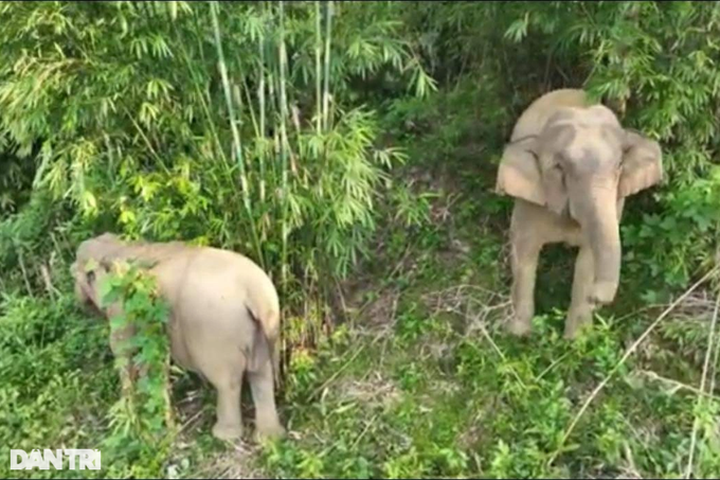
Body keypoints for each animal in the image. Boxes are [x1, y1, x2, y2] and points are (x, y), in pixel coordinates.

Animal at [70, 232, 286, 442]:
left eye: (77, 275)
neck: (119, 246)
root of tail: (256, 294)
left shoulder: (121, 307)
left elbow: (123, 350)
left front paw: (129, 414)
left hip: (219, 335)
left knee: (227, 383)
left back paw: (224, 435)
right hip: (262, 330)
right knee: (262, 376)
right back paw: (269, 437)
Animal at [494, 88, 663, 339]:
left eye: (620, 165)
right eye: (559, 167)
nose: (597, 299)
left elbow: (587, 260)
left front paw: (576, 339)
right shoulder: (530, 201)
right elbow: (524, 251)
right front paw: (517, 333)